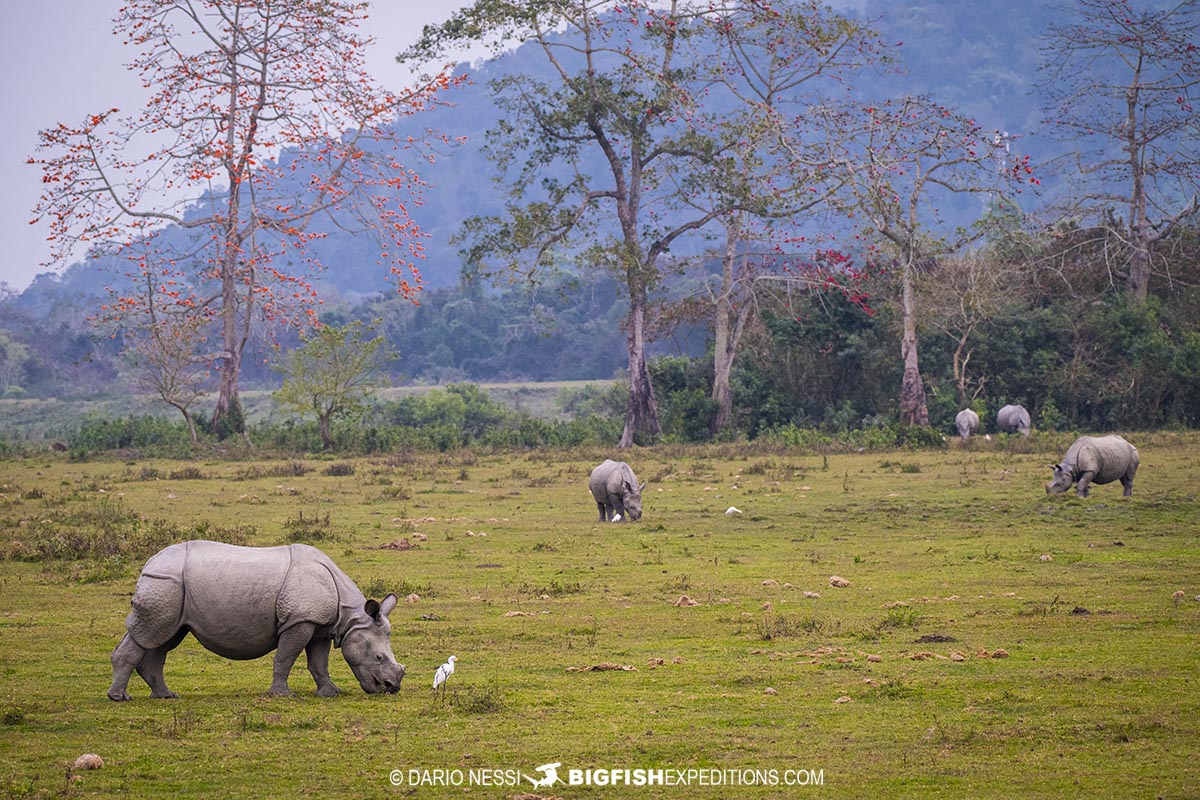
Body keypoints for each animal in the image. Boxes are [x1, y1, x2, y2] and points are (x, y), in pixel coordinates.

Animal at [105, 542, 403, 705]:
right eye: (378, 657)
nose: (392, 688)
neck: (349, 617)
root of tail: (149, 562)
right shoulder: (299, 621)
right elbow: (285, 657)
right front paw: (282, 695)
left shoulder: (320, 625)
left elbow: (319, 662)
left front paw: (330, 693)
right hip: (164, 583)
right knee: (150, 634)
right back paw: (120, 698)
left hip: (170, 588)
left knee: (163, 638)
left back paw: (166, 696)